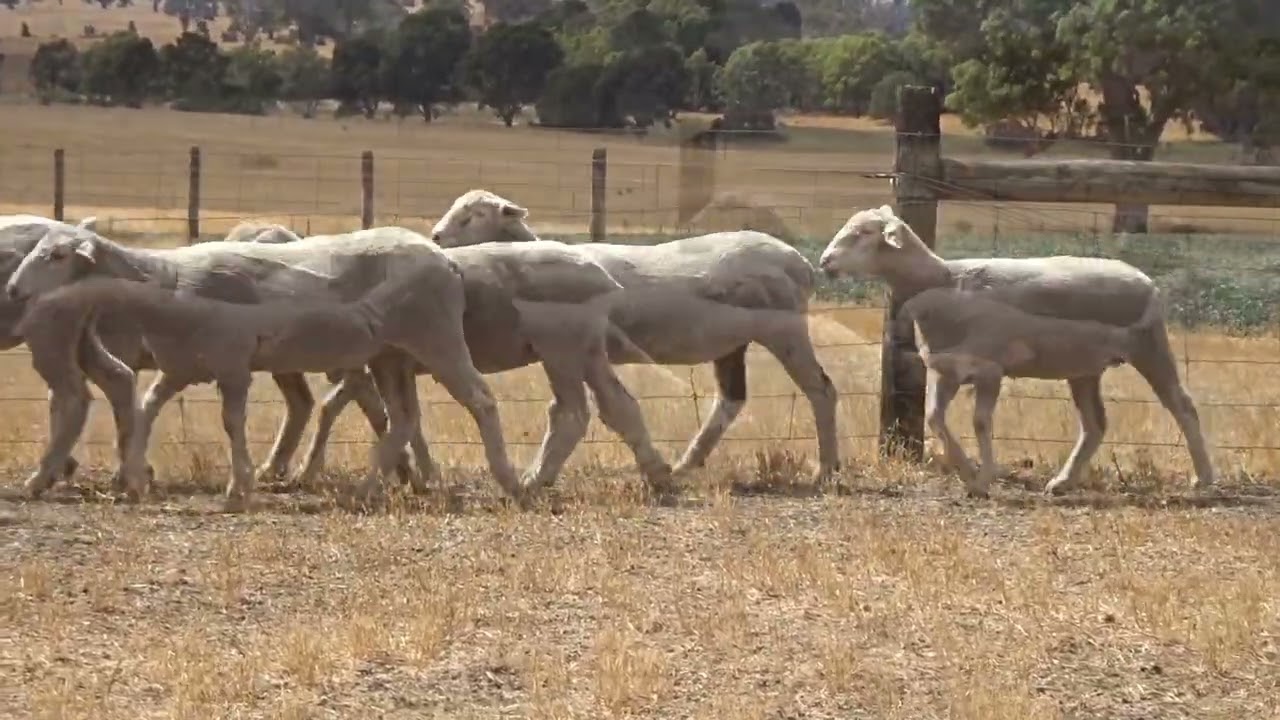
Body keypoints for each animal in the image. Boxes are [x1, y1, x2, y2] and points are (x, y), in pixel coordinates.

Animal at [5, 224, 520, 504]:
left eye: (56, 255)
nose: (12, 290)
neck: (167, 281)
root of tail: (446, 263)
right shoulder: (182, 363)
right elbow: (147, 408)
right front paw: (133, 477)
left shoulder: (232, 360)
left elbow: (232, 421)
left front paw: (239, 486)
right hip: (391, 355)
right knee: (403, 419)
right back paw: (368, 488)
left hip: (437, 338)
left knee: (481, 399)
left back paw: (511, 480)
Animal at [408, 189, 840, 482]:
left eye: (475, 215)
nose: (435, 237)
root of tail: (800, 263)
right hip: (733, 343)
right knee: (731, 400)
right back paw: (686, 464)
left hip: (785, 330)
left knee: (821, 390)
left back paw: (826, 468)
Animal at [900, 285, 1161, 497]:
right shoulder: (946, 374)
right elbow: (935, 417)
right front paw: (970, 474)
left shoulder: (988, 374)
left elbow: (980, 422)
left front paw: (980, 480)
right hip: (1084, 374)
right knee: (1095, 424)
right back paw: (1061, 483)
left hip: (1145, 354)